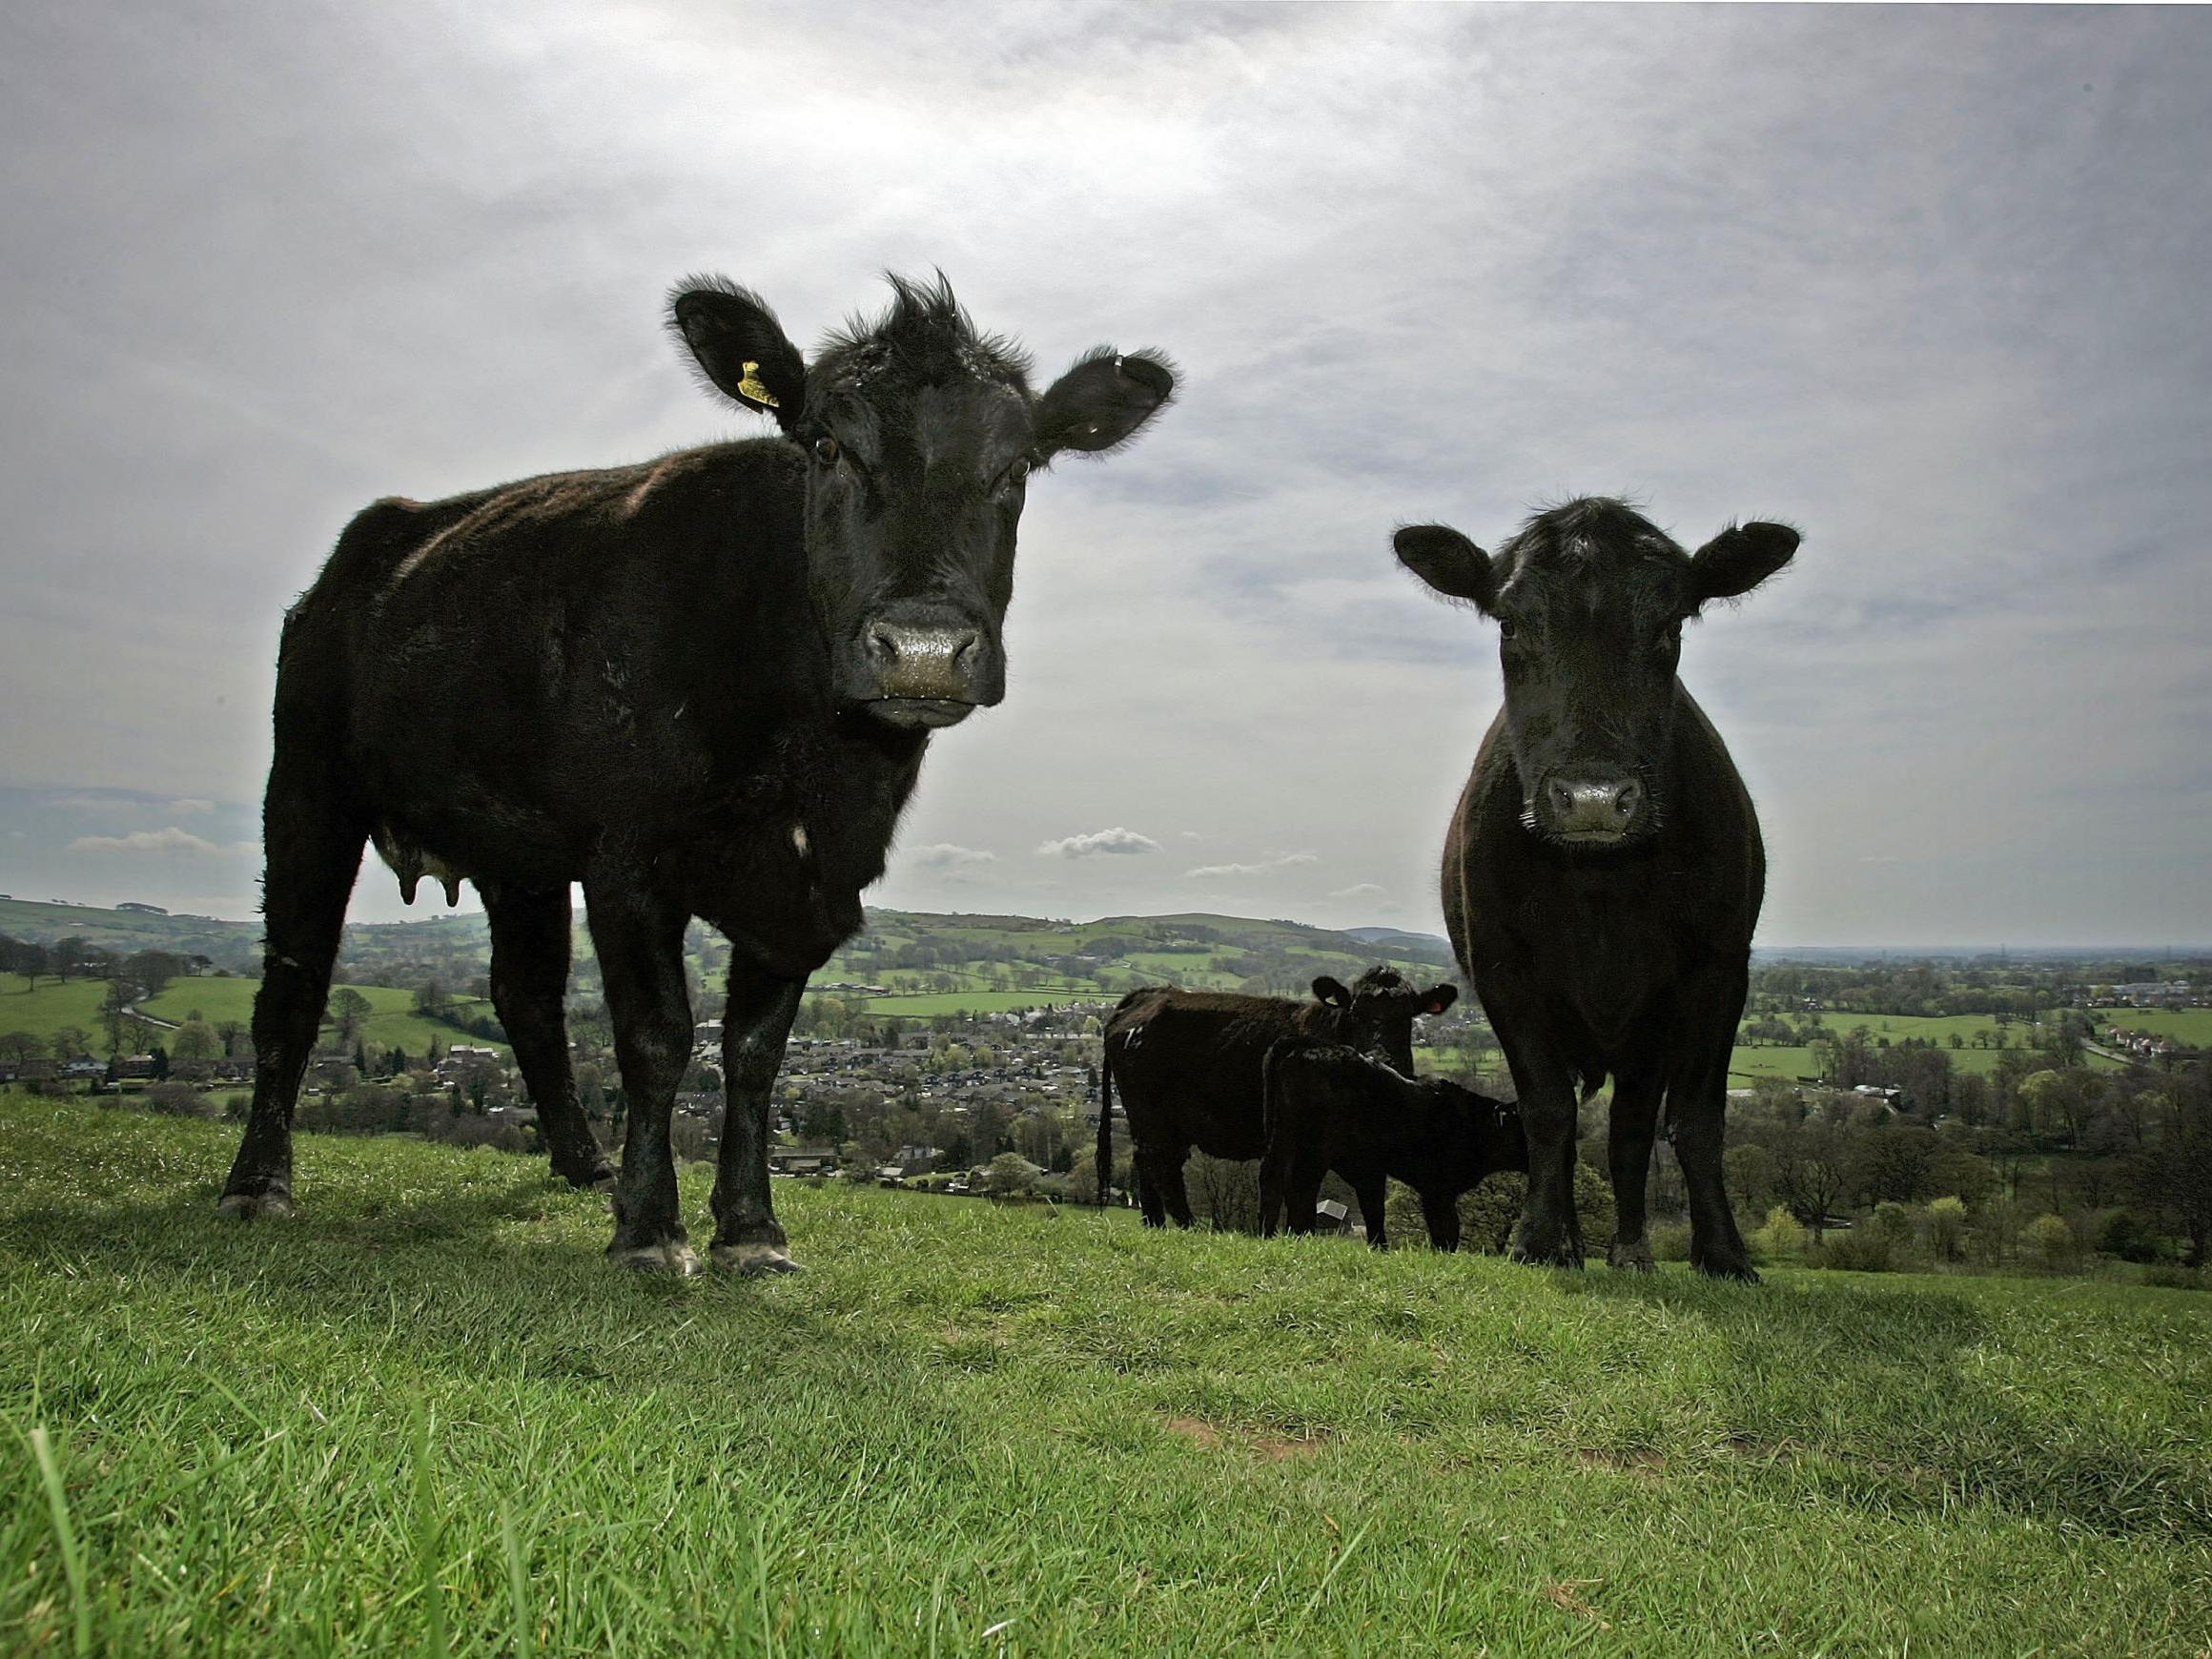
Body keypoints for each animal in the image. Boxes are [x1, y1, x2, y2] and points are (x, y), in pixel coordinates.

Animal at [226, 279, 1185, 1282]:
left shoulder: (810, 886)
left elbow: (756, 1053)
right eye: (827, 446)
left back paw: (581, 1163)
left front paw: (751, 1227)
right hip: (308, 785)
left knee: (525, 996)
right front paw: (651, 1228)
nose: (923, 648)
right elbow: (658, 1039)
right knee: (292, 984)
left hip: (519, 850)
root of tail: (375, 538)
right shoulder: (629, 859)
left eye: (1020, 466)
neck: (813, 769)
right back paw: (258, 1182)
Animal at [1101, 969, 1450, 1229]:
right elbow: (1303, 1192)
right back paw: (1187, 1226)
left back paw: (1156, 1224)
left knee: (1149, 1166)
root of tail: (1149, 994)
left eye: (1408, 1015)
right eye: (1355, 1013)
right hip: (1151, 1116)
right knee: (1160, 1166)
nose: (1381, 1058)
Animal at [1256, 1044, 1530, 1256]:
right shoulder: (1437, 1186)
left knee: (1273, 1175)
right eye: (1522, 1130)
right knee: (1302, 1183)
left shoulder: (1370, 1169)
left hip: (1282, 1135)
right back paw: (1302, 1235)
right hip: (1315, 1145)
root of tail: (1301, 1046)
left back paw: (1268, 1233)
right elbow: (1447, 1227)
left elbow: (1375, 1208)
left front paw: (1380, 1248)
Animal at [1398, 500, 1795, 1282]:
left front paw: (1723, 1252)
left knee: (1629, 1132)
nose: (1590, 798)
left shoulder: (1717, 970)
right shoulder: (1503, 969)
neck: (1600, 890)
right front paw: (1538, 1240)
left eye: (1671, 624)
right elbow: (1548, 1112)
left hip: (1646, 1036)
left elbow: (1696, 1121)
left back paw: (1632, 1248)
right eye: (1509, 623)